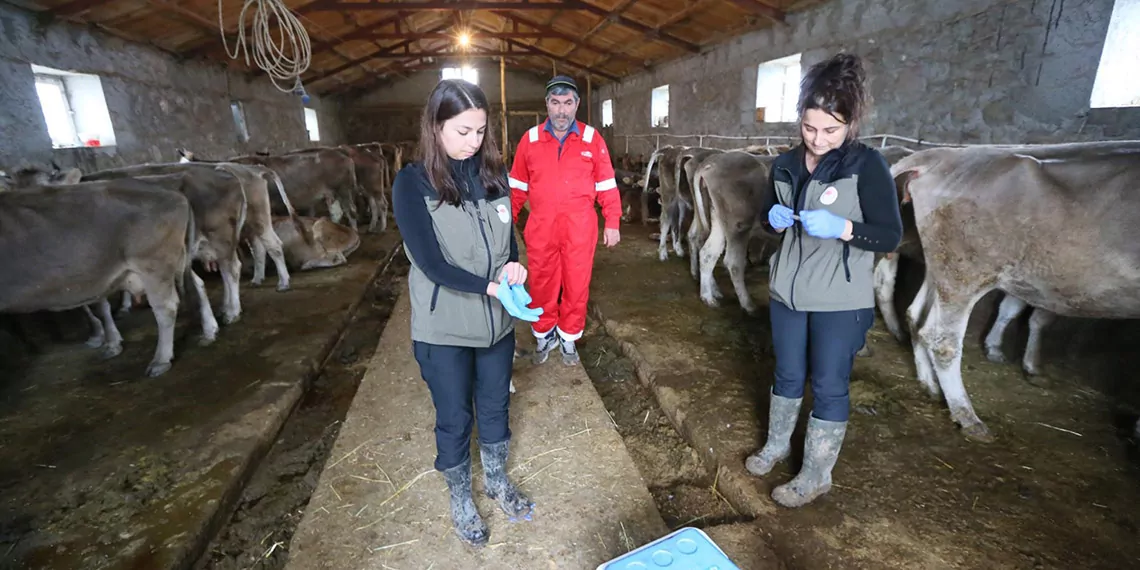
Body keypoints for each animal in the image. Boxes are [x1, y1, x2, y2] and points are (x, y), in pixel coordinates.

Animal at [0, 173, 214, 378]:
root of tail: (174, 193)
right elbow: (98, 308)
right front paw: (108, 341)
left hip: (153, 264)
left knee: (166, 307)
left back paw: (161, 359)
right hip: (178, 258)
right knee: (197, 284)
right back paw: (209, 330)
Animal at [893, 141, 1140, 440]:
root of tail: (945, 154)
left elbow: (1023, 312)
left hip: (941, 268)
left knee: (915, 316)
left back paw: (929, 385)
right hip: (964, 271)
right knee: (941, 339)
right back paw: (967, 416)